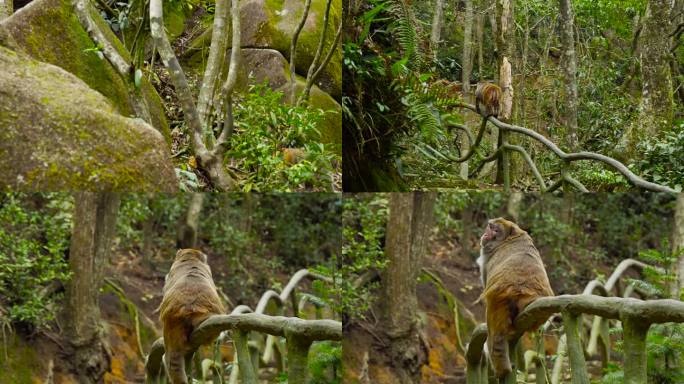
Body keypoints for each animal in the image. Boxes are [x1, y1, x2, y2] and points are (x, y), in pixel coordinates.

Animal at [478, 218, 552, 380]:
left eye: (495, 230)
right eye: (490, 226)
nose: (486, 234)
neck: (510, 238)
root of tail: (520, 289)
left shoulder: (488, 260)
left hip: (498, 300)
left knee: (496, 335)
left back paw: (501, 367)